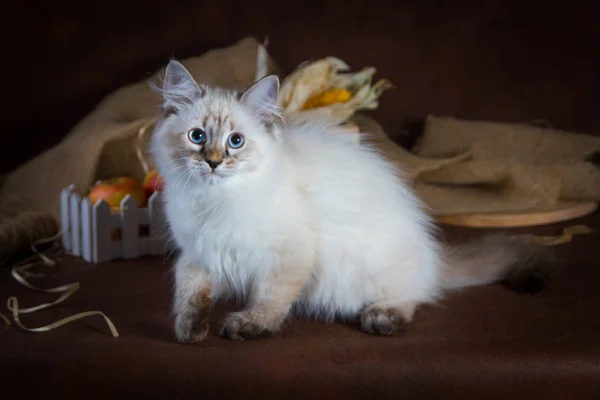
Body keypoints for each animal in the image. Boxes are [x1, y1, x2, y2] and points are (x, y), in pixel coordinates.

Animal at [150, 60, 552, 344]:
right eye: (197, 137)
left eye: (235, 141)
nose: (213, 162)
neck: (213, 199)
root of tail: (434, 257)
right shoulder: (199, 254)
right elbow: (188, 293)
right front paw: (190, 332)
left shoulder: (287, 256)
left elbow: (268, 299)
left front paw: (249, 325)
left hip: (372, 270)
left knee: (415, 296)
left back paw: (381, 317)